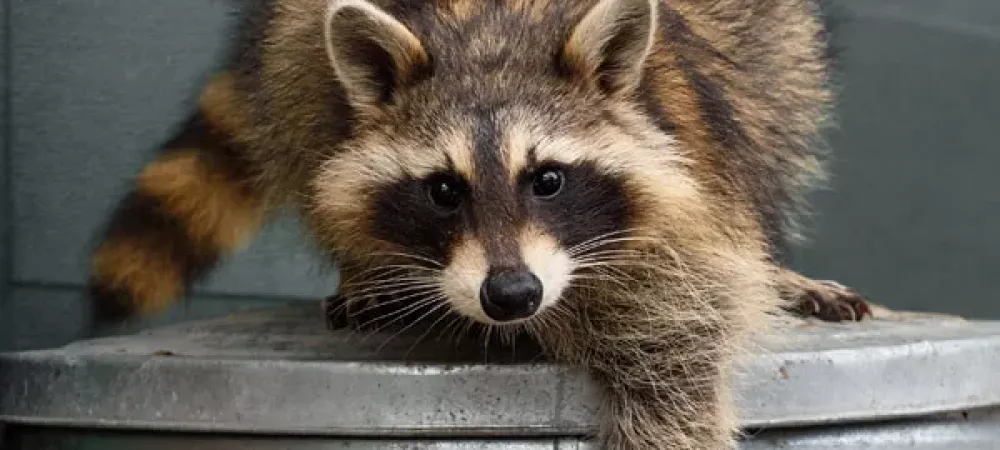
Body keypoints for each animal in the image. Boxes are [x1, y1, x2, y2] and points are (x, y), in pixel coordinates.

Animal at [88, 0, 868, 448]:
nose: (512, 294)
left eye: (547, 180)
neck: (489, 37)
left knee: (773, 98)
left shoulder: (691, 184)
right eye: (442, 191)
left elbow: (676, 344)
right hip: (293, 46)